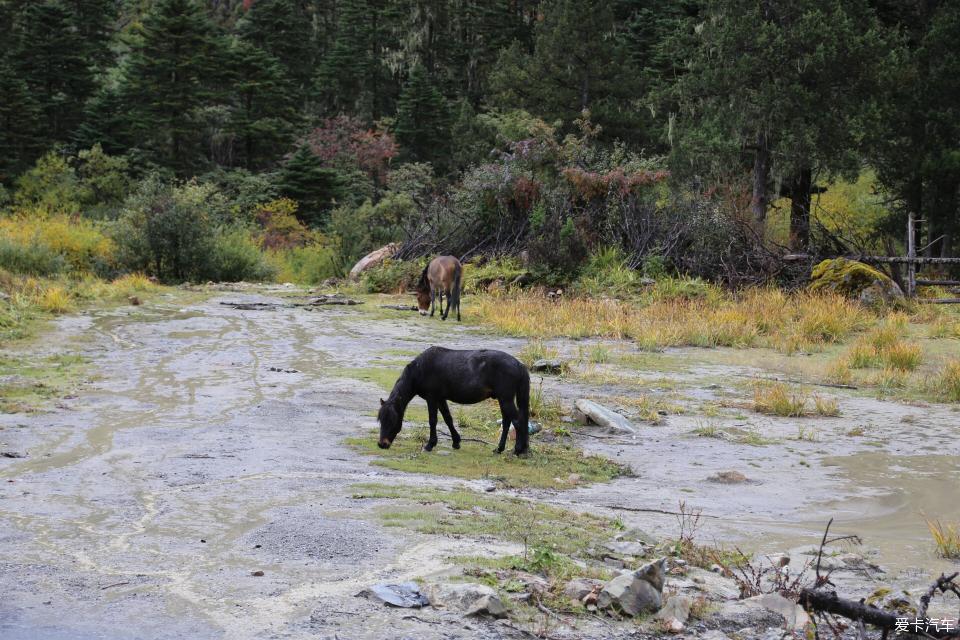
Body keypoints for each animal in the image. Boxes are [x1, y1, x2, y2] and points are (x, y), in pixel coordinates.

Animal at [376, 348, 528, 458]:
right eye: (381, 420)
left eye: (393, 421)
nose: (382, 444)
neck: (420, 369)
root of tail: (519, 365)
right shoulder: (440, 399)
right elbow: (448, 418)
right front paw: (456, 442)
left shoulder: (432, 398)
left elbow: (433, 420)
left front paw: (430, 445)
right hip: (503, 400)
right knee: (508, 422)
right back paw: (500, 449)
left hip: (505, 399)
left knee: (517, 422)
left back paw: (518, 450)